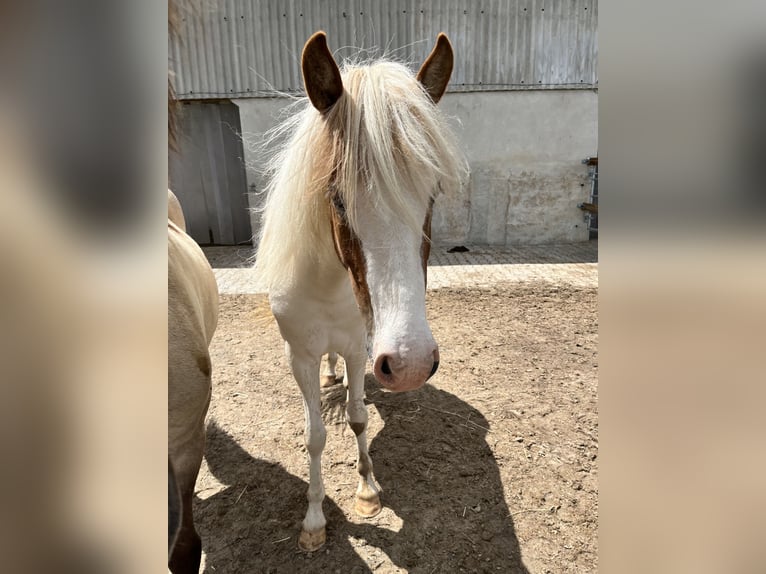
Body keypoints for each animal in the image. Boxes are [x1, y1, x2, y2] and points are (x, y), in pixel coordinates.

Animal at [255, 31, 464, 552]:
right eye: (336, 197)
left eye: (432, 195)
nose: (411, 364)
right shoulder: (301, 356)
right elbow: (314, 435)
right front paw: (314, 520)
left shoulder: (356, 347)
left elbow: (357, 418)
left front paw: (367, 492)